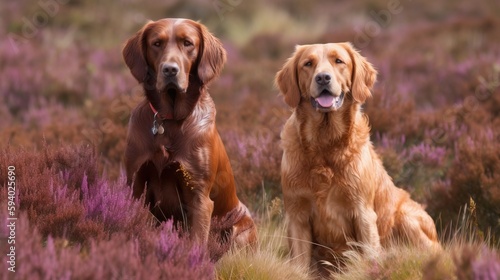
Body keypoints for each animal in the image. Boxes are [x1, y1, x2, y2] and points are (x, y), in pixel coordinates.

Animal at [120, 18, 254, 248]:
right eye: (156, 43)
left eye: (187, 43)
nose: (169, 70)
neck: (169, 120)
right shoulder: (135, 185)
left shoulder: (199, 197)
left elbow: (197, 242)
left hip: (240, 230)